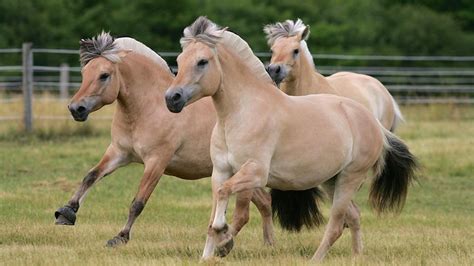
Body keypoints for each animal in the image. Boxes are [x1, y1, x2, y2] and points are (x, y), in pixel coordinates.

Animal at [52, 32, 274, 248]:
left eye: (104, 75)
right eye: (84, 73)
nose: (76, 109)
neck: (150, 107)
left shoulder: (156, 162)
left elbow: (138, 202)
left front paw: (120, 237)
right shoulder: (119, 153)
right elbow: (91, 176)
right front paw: (66, 212)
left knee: (245, 213)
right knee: (265, 202)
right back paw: (268, 245)